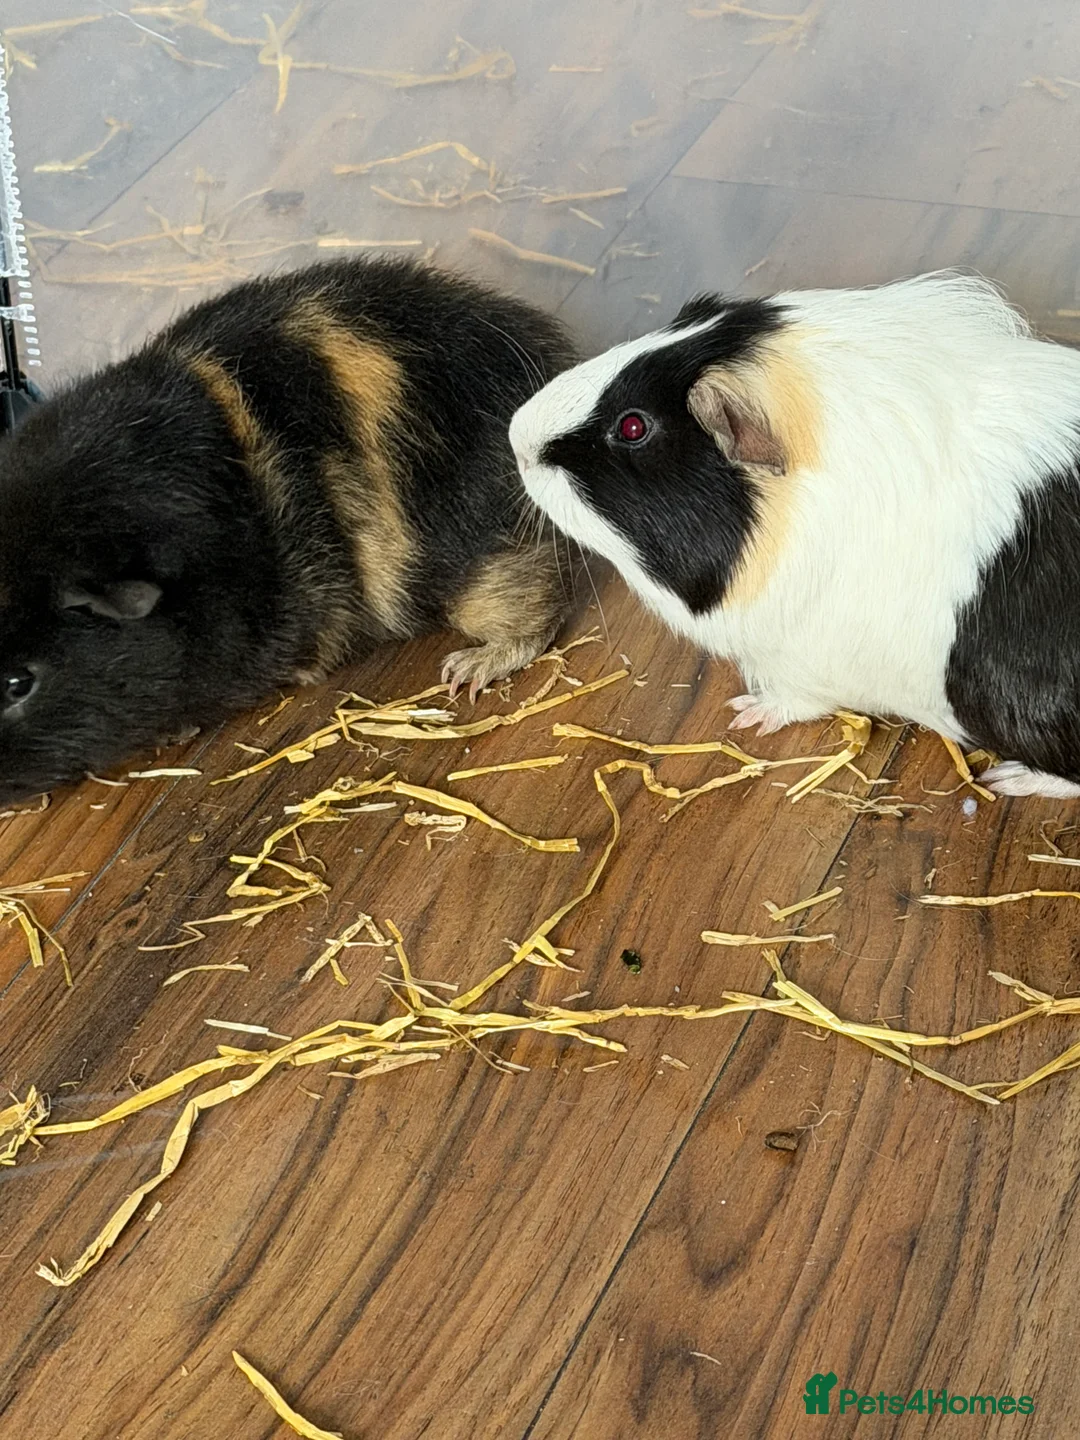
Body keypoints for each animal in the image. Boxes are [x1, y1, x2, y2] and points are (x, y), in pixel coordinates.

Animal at [509, 270, 1080, 799]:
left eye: (633, 427)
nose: (517, 435)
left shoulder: (803, 663)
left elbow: (794, 700)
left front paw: (745, 713)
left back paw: (1008, 779)